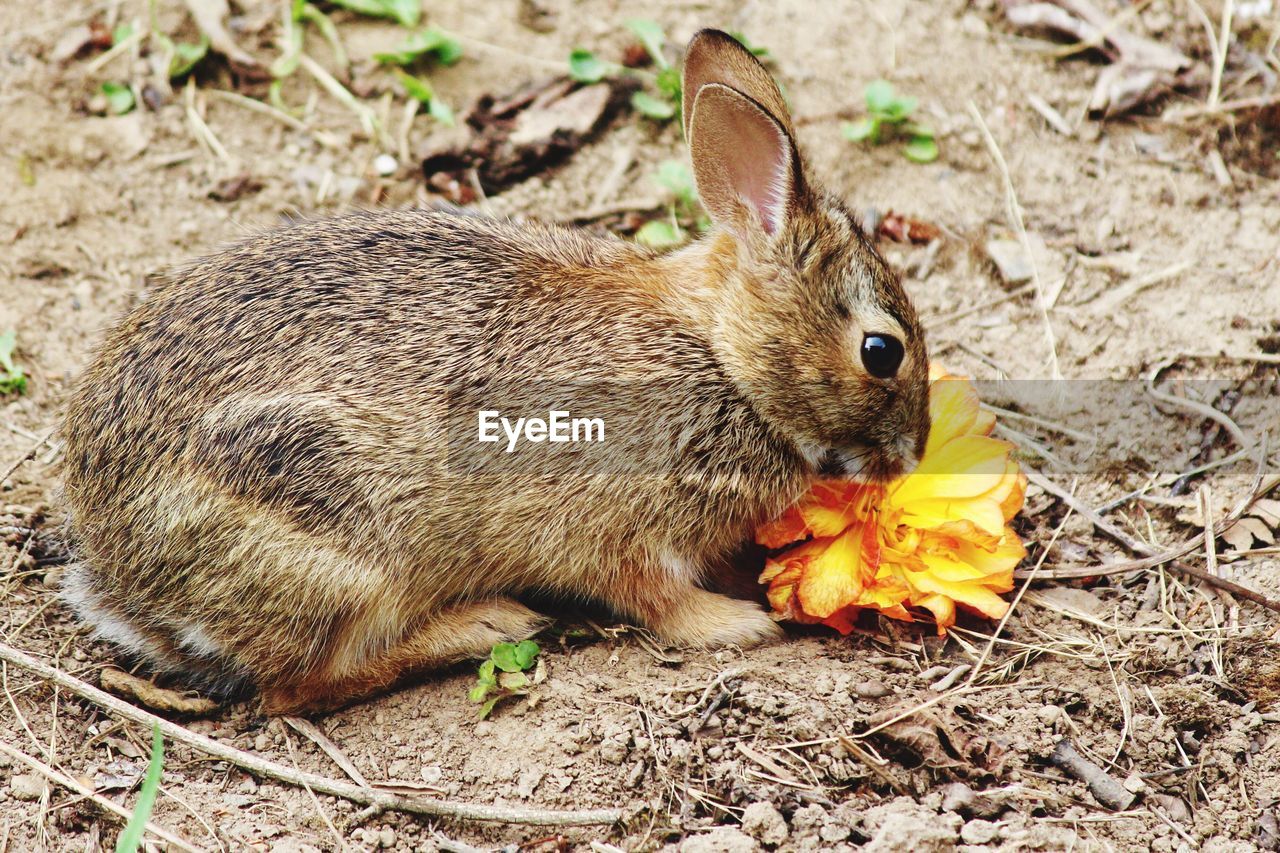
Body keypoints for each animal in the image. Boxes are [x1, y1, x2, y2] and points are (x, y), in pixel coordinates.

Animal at [60, 29, 931, 712]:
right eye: (880, 350)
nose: (912, 454)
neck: (720, 353)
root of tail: (122, 576)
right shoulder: (610, 524)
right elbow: (653, 595)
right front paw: (738, 624)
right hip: (338, 550)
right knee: (296, 688)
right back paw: (484, 624)